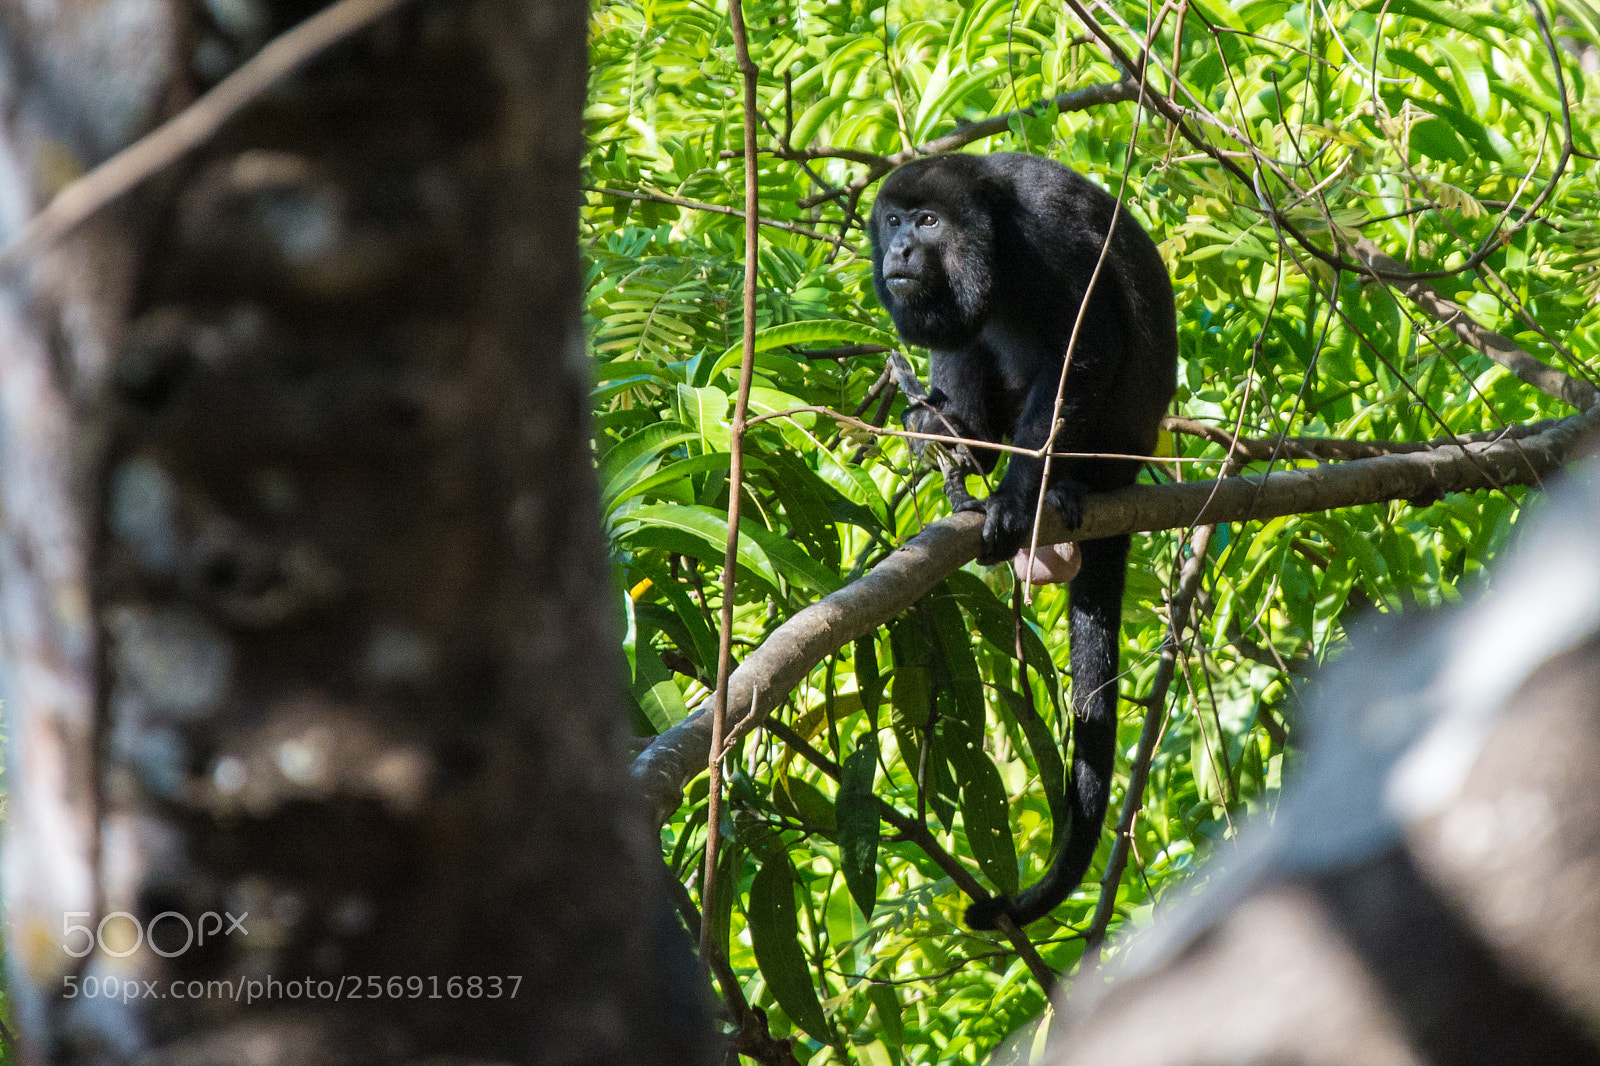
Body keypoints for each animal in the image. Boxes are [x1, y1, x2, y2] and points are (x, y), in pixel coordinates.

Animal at [869, 152, 1178, 929]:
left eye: (928, 221)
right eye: (895, 219)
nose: (901, 249)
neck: (994, 242)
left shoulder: (1051, 237)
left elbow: (1087, 349)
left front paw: (1016, 497)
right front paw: (940, 429)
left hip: (1116, 447)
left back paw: (1057, 489)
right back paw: (962, 442)